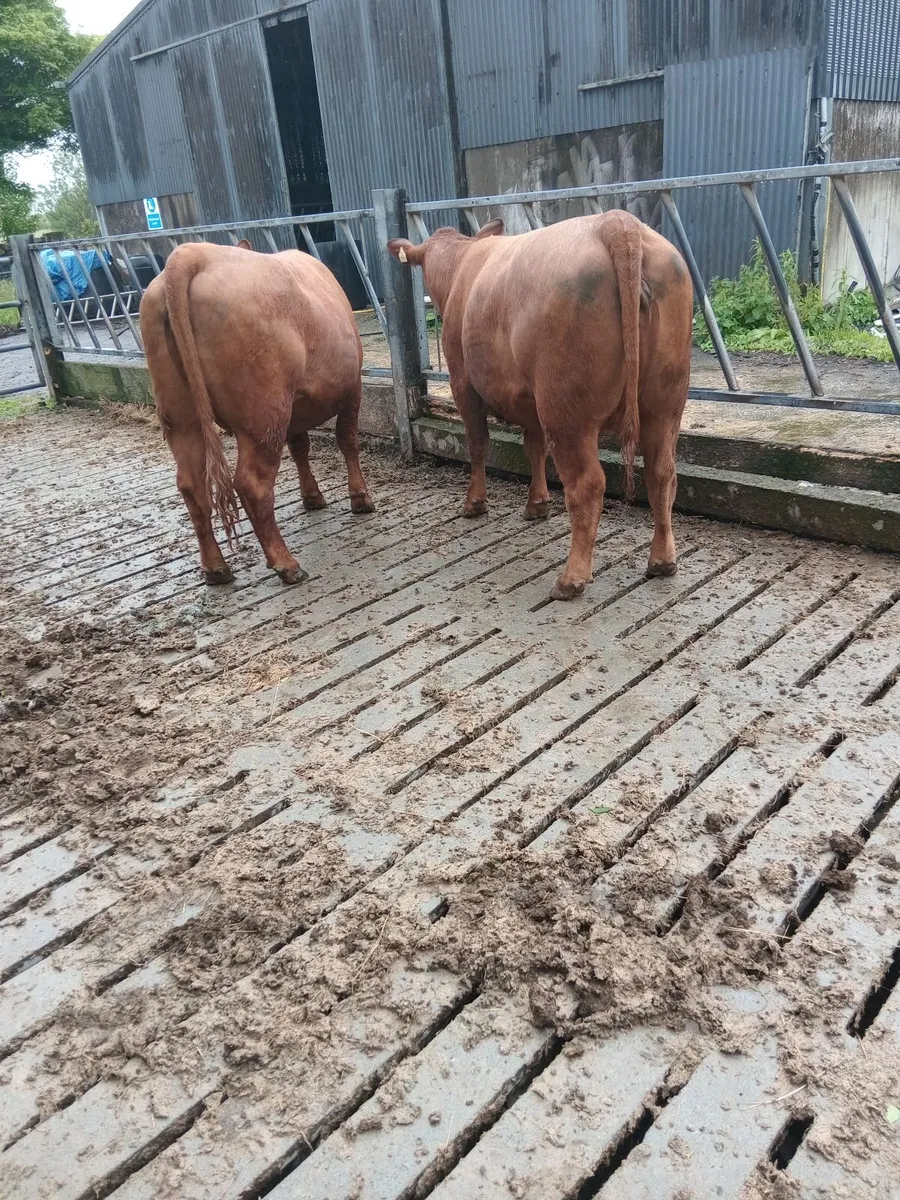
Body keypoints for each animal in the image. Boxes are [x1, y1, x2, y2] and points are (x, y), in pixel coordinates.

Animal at [140, 240, 374, 586]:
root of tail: (194, 252)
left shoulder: (296, 409)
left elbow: (300, 447)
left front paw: (312, 497)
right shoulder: (353, 388)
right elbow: (347, 440)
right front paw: (360, 499)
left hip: (180, 416)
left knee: (191, 485)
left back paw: (216, 569)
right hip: (263, 414)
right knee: (252, 484)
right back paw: (286, 564)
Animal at [387, 210, 693, 600]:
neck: (464, 266)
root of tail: (617, 221)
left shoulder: (463, 383)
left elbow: (477, 444)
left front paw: (475, 502)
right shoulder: (529, 402)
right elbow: (533, 449)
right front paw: (537, 504)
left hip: (567, 412)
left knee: (587, 484)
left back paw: (571, 578)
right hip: (665, 406)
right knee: (662, 474)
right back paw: (662, 561)